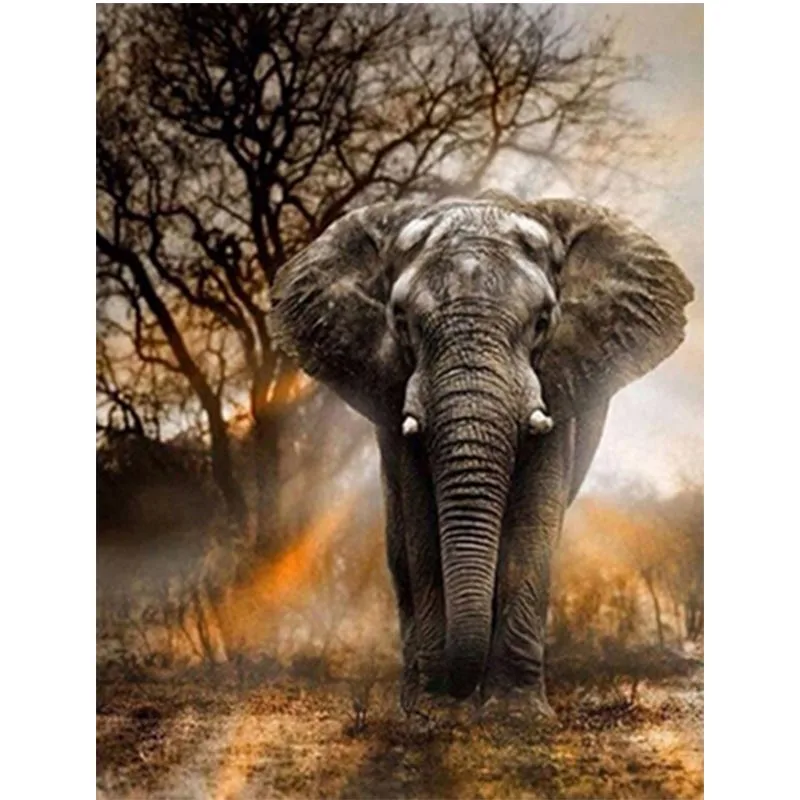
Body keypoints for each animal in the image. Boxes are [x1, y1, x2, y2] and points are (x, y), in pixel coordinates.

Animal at [270, 190, 694, 714]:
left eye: (542, 322)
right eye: (401, 322)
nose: (457, 690)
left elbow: (532, 523)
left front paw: (516, 716)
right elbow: (422, 527)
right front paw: (436, 712)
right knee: (398, 548)